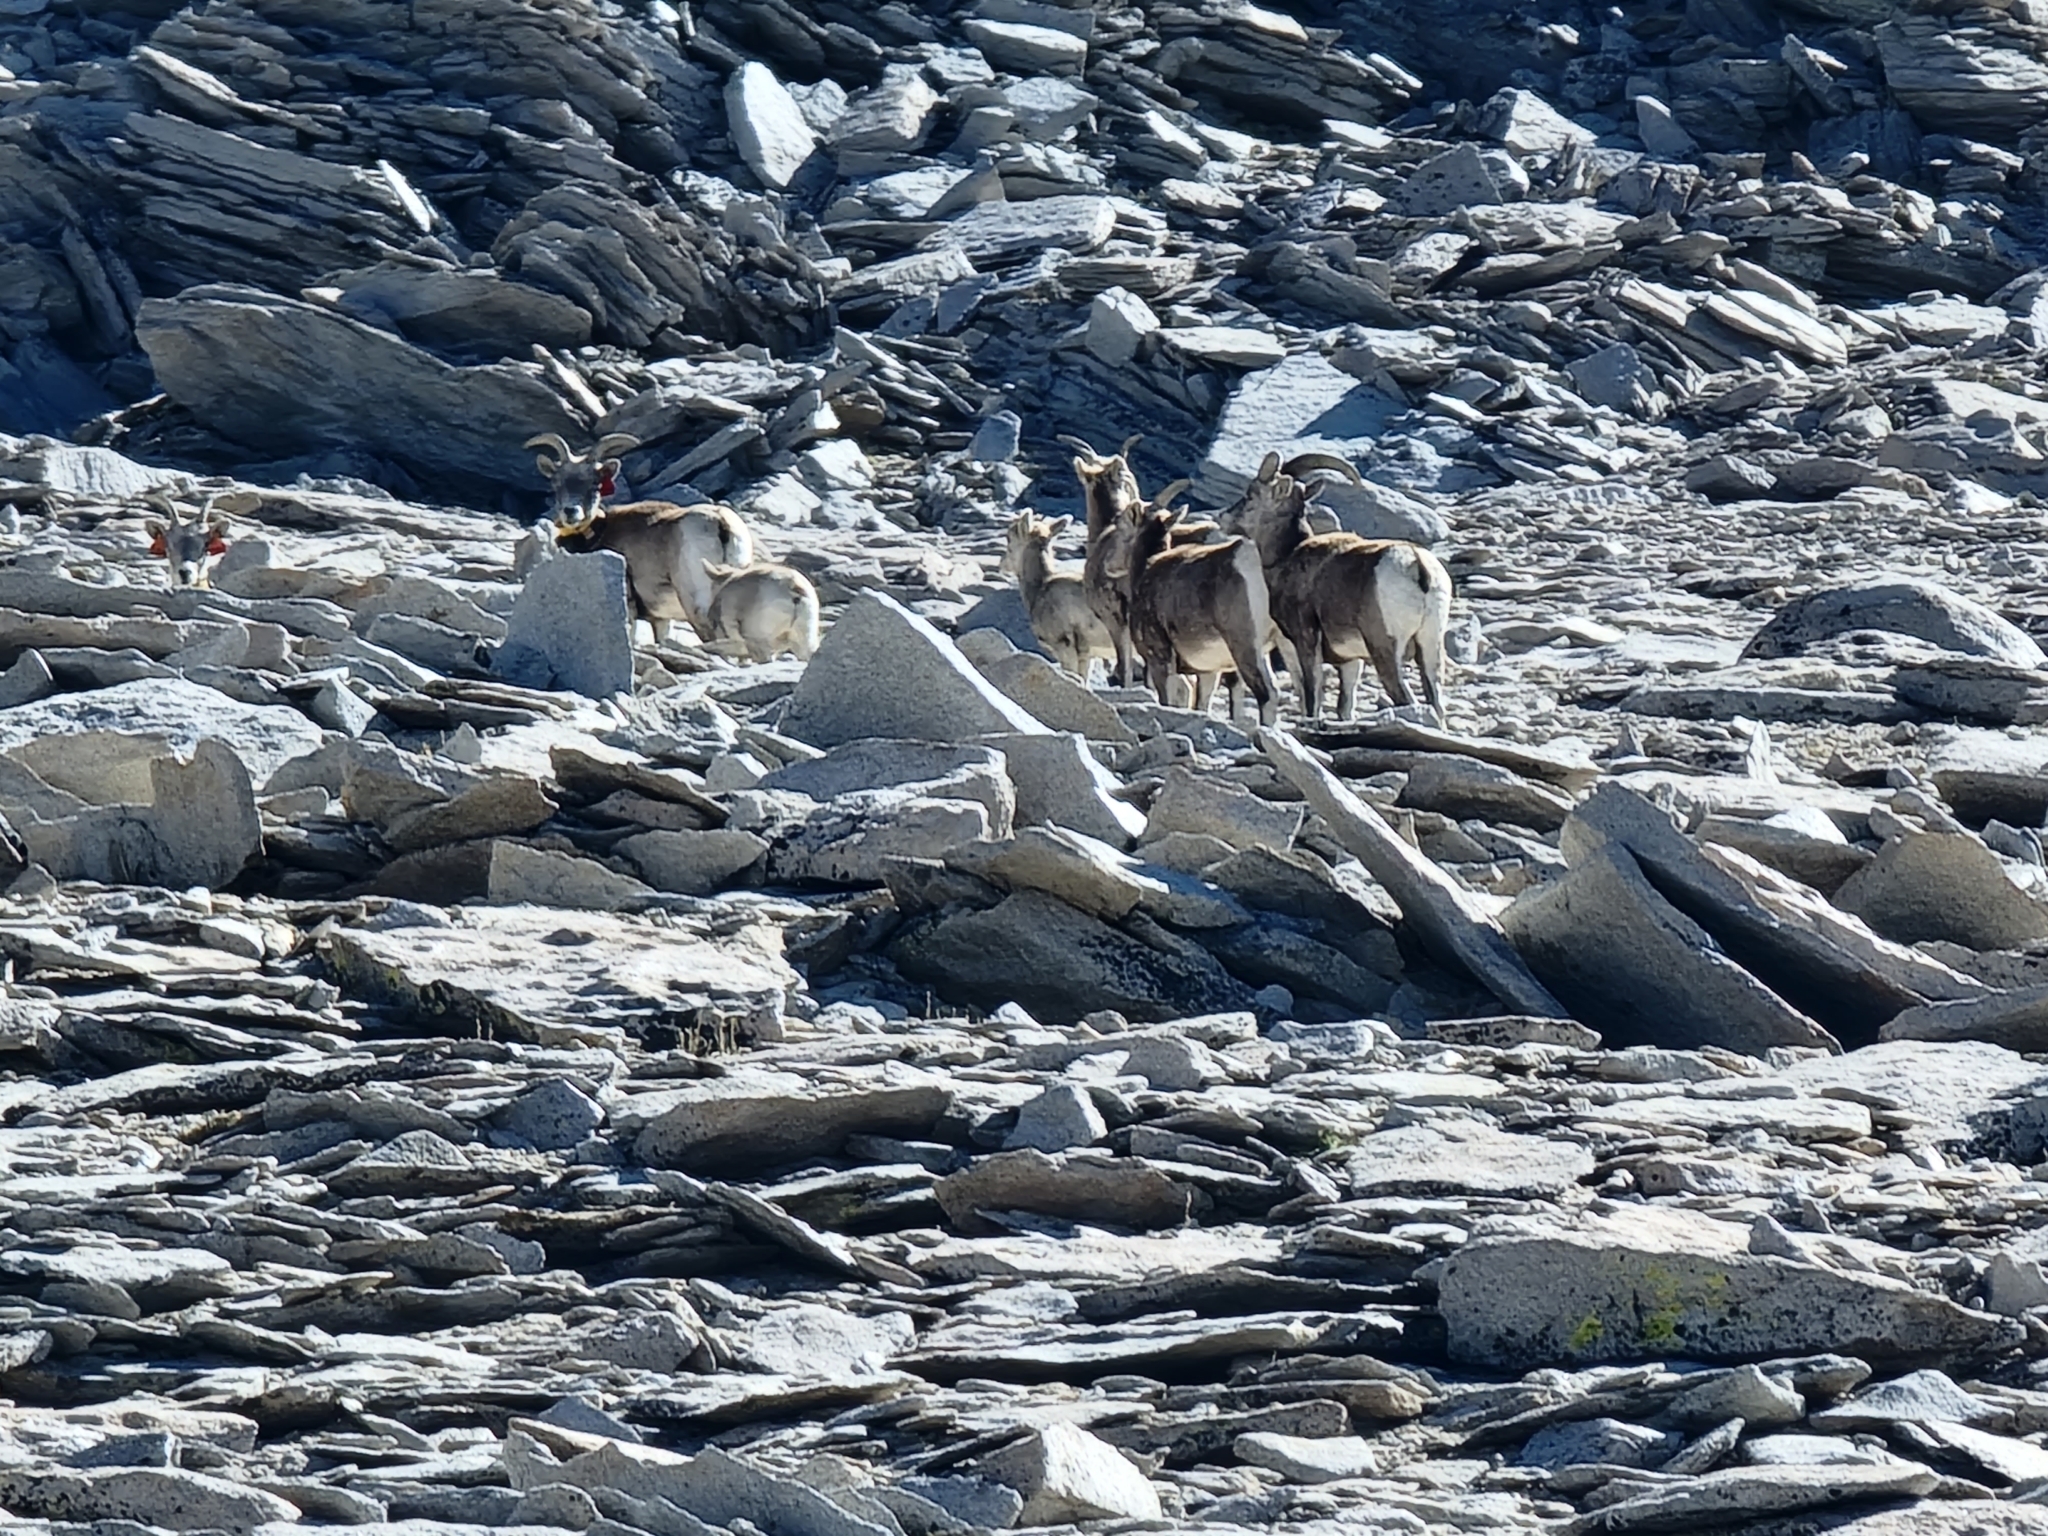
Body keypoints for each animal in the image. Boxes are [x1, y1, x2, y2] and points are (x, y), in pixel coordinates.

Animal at [525, 432, 754, 645]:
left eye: (595, 484)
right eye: (556, 483)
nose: (570, 511)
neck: (600, 531)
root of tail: (721, 524)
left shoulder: (631, 608)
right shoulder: (661, 620)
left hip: (696, 607)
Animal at [1230, 450, 1451, 724]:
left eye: (1251, 494)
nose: (1225, 518)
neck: (1287, 555)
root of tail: (1417, 564)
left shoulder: (1306, 640)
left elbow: (1312, 695)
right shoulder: (1350, 661)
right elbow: (1344, 706)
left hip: (1386, 650)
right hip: (1430, 647)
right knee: (1436, 704)